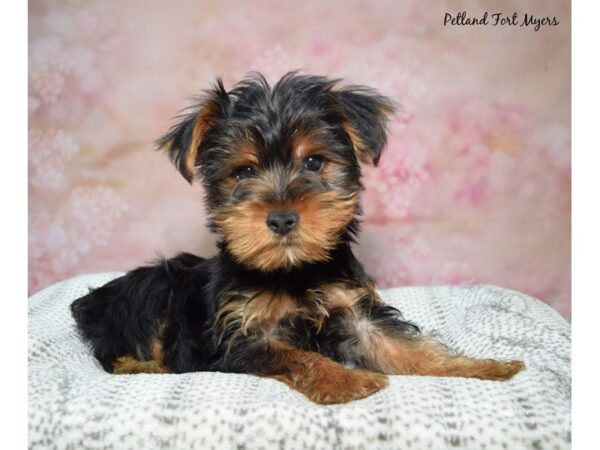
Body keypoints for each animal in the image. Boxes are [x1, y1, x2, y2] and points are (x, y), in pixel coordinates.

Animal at [70, 71, 524, 404]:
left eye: (314, 162)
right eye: (243, 172)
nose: (282, 217)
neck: (292, 269)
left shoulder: (353, 311)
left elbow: (402, 347)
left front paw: (482, 368)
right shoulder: (242, 333)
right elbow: (296, 356)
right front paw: (347, 382)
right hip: (152, 291)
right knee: (115, 354)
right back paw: (150, 365)